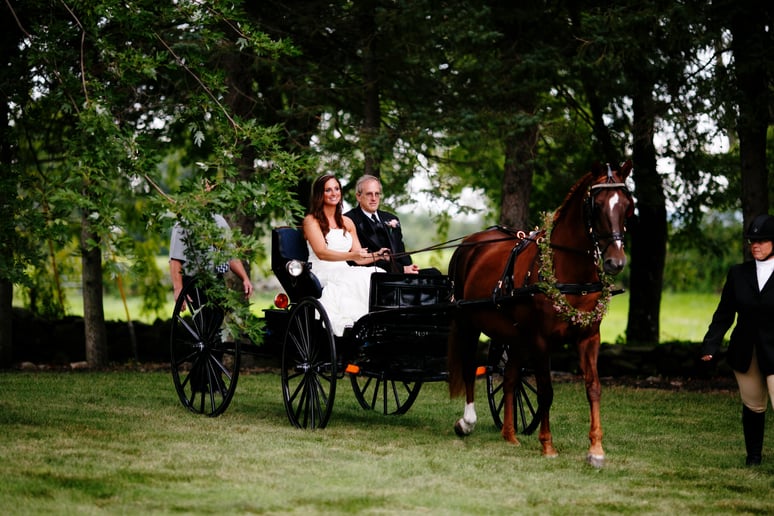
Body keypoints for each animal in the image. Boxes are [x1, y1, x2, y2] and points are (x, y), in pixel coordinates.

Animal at [452, 161, 632, 468]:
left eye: (628, 205)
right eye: (596, 205)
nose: (615, 262)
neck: (568, 271)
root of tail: (470, 242)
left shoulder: (588, 337)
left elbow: (593, 387)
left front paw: (596, 449)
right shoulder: (541, 340)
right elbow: (546, 391)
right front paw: (547, 445)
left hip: (514, 336)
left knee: (510, 377)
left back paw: (510, 434)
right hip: (468, 322)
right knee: (468, 367)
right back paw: (467, 422)